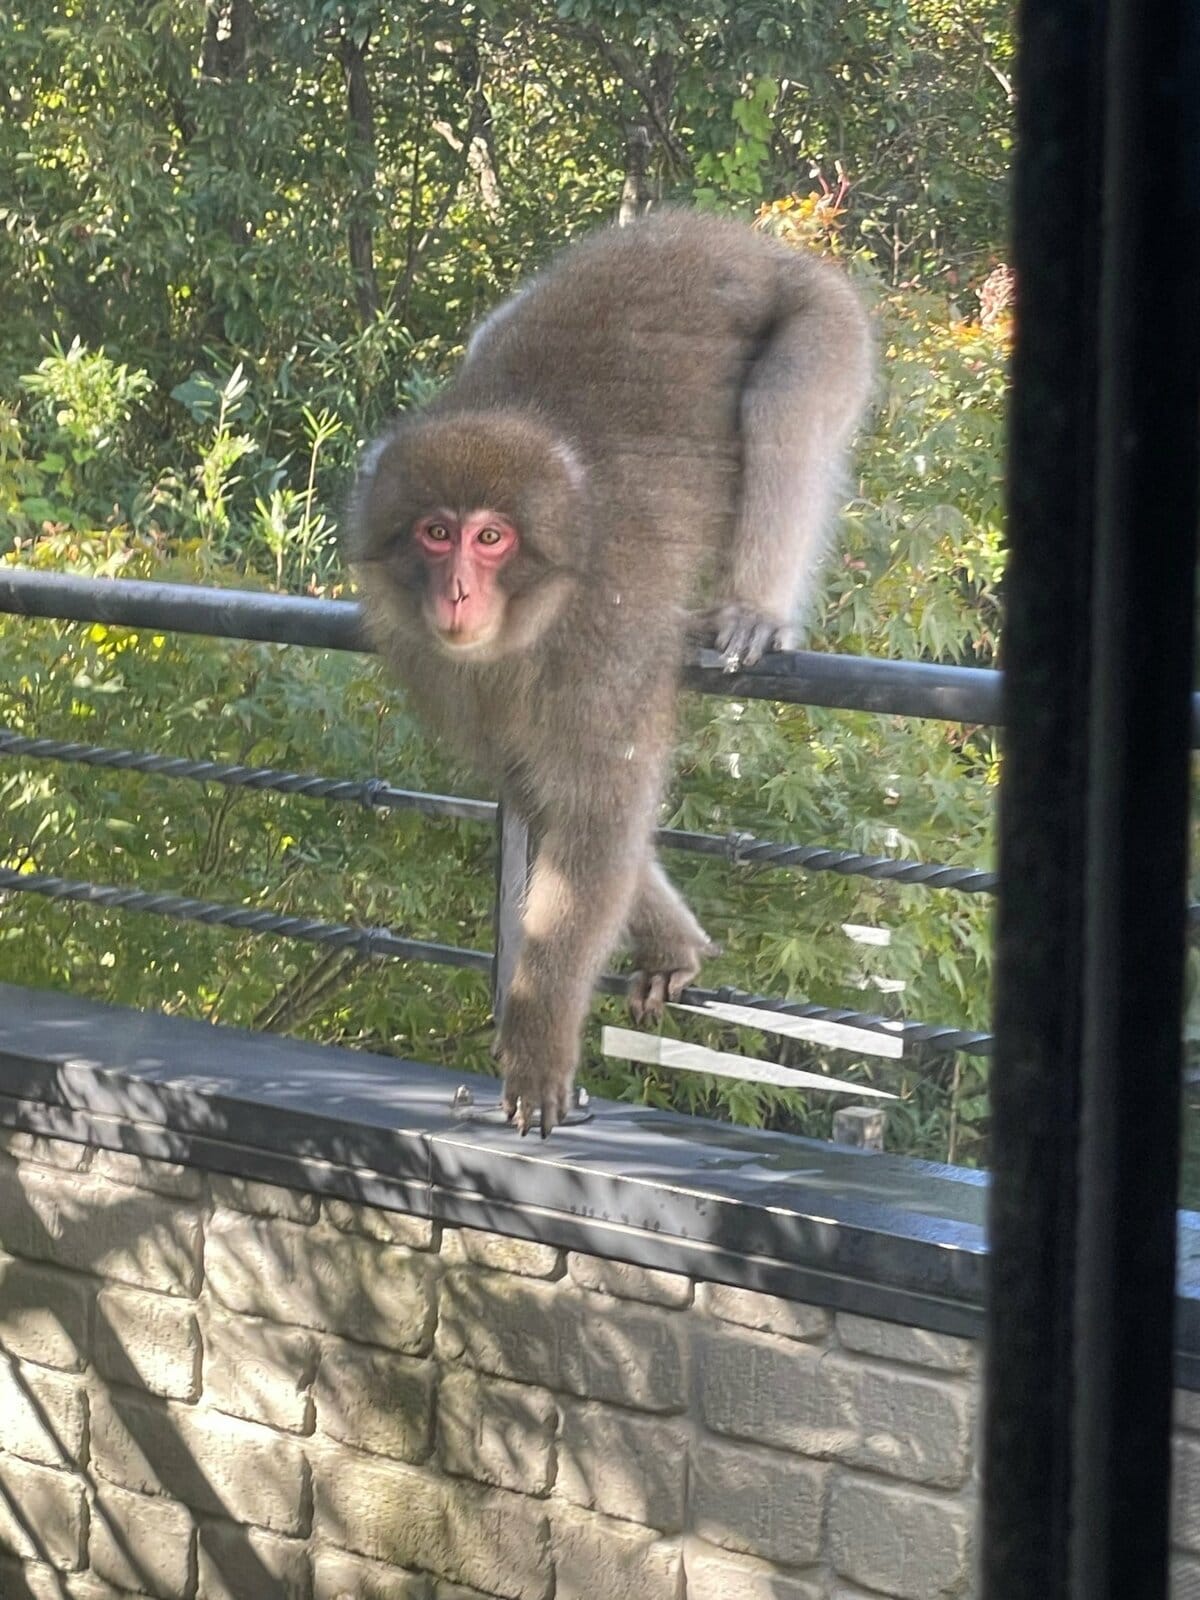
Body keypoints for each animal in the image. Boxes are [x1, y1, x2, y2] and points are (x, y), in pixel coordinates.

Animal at [349, 209, 872, 1137]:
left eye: (491, 538)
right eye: (435, 534)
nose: (456, 593)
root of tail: (738, 239)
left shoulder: (605, 640)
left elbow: (598, 814)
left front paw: (538, 1037)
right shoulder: (430, 659)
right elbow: (543, 795)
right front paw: (670, 941)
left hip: (828, 320)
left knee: (783, 404)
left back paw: (754, 607)